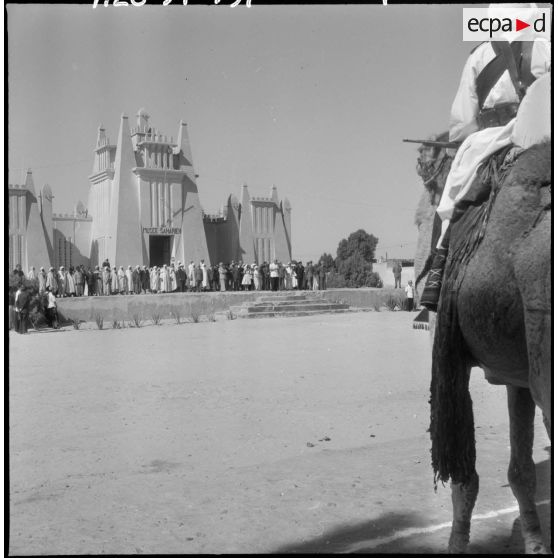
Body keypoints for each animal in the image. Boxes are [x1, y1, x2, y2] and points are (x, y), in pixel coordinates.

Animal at [414, 130, 552, 556]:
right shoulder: (517, 372)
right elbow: (521, 471)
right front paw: (535, 542)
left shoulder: (450, 351)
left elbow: (463, 472)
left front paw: (457, 544)